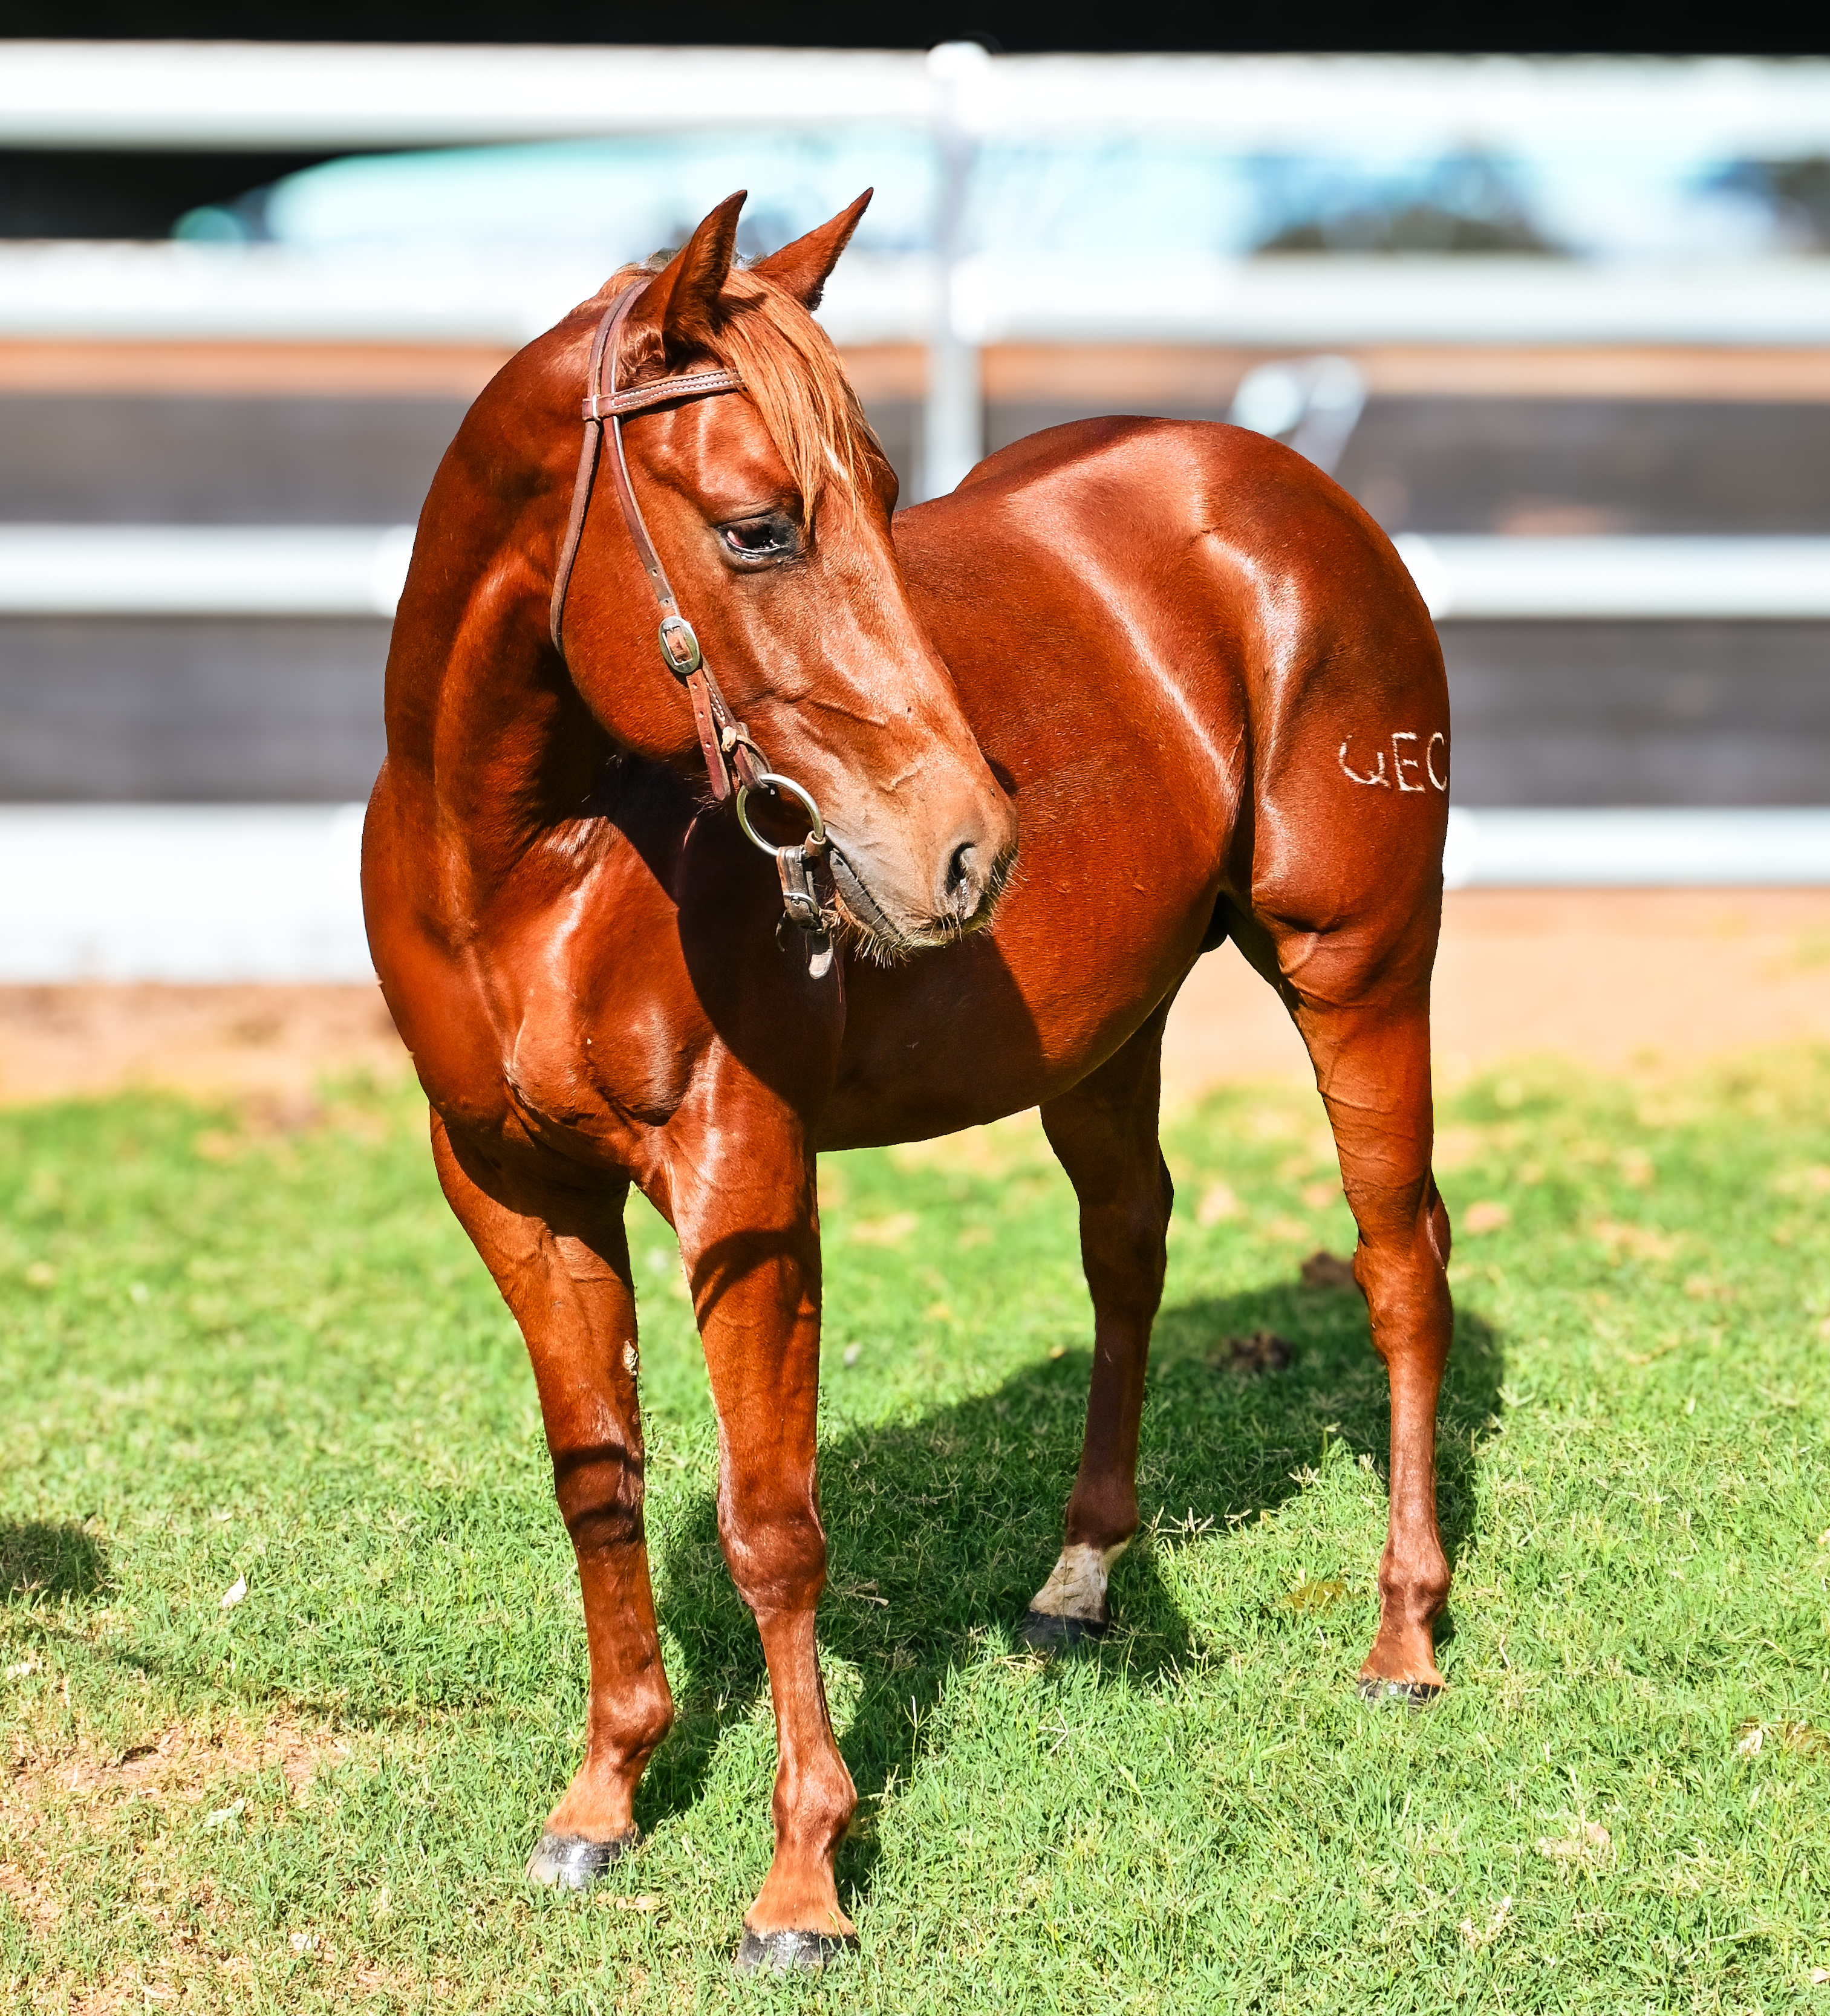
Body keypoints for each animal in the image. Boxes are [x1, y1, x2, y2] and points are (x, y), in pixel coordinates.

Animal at [362, 188, 1454, 1972]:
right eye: (756, 529)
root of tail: (1285, 488)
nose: (966, 844)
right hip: (1109, 1029)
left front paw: (800, 1879)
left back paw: (1406, 1631)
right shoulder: (512, 1187)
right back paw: (1080, 1578)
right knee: (1129, 1242)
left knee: (1398, 1258)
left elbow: (771, 1523)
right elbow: (599, 1483)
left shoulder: (745, 1182)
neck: (534, 862)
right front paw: (603, 1796)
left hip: (1356, 967)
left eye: (878, 501)